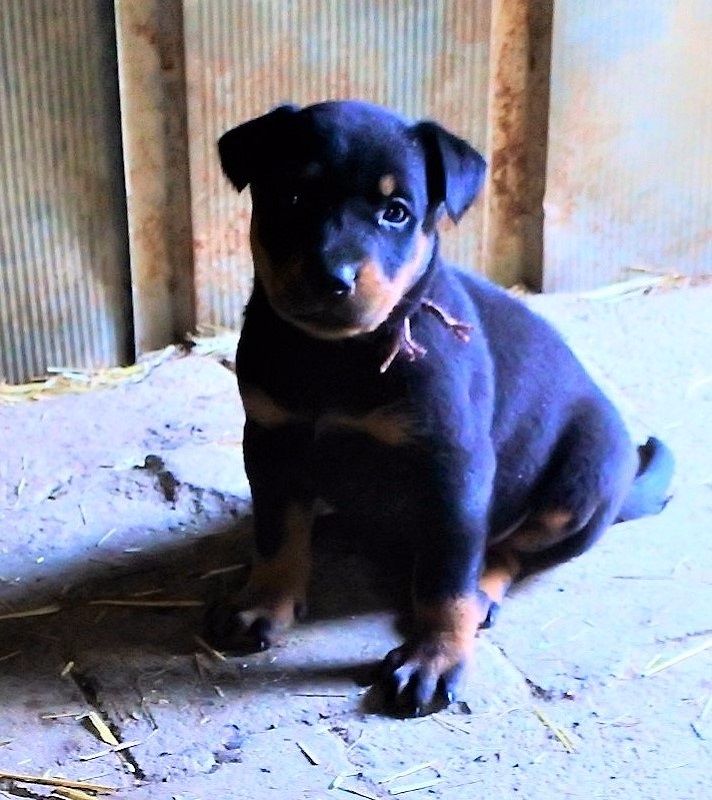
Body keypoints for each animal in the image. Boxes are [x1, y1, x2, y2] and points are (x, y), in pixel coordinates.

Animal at [206, 100, 674, 716]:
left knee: (506, 553)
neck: (335, 358)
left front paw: (435, 658)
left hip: (579, 484)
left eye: (396, 212)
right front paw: (263, 601)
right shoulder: (270, 441)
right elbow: (277, 531)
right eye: (293, 196)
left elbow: (447, 576)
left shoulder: (453, 465)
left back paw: (481, 596)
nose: (332, 278)